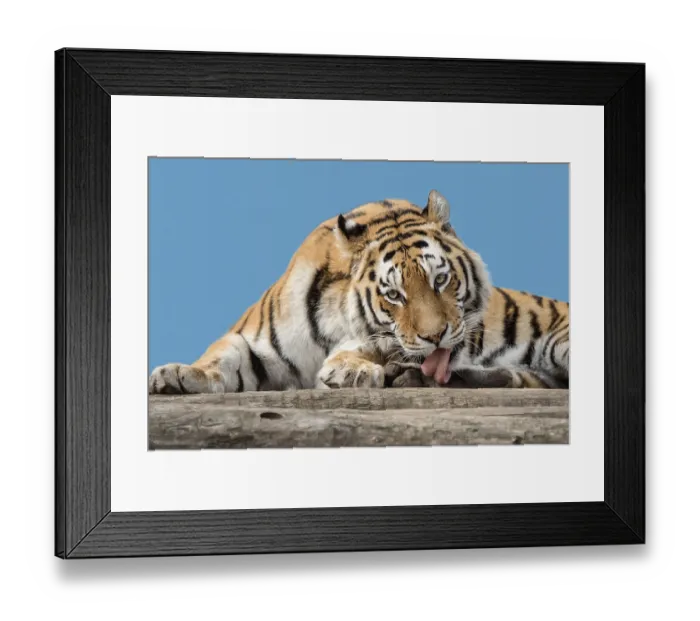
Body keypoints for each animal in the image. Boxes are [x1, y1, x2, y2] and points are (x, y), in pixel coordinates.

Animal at [148, 190, 569, 395]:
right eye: (394, 295)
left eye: (440, 280)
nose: (435, 337)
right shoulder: (256, 343)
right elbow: (222, 357)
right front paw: (179, 375)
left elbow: (364, 350)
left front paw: (350, 371)